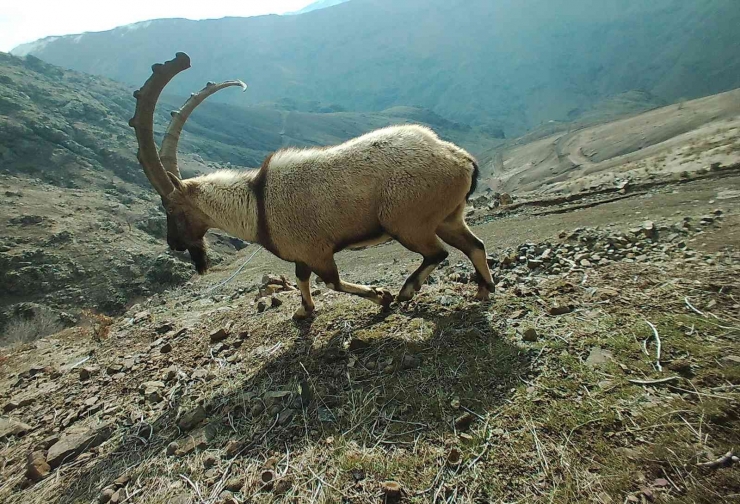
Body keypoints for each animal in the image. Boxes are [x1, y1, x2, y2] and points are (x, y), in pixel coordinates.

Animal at [130, 52, 494, 318]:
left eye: (172, 207)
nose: (174, 244)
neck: (256, 203)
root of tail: (459, 159)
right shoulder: (301, 256)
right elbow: (301, 279)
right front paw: (304, 312)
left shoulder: (317, 250)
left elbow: (330, 282)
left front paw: (382, 296)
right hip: (447, 217)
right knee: (474, 245)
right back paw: (483, 290)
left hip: (406, 222)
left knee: (438, 252)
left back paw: (406, 292)